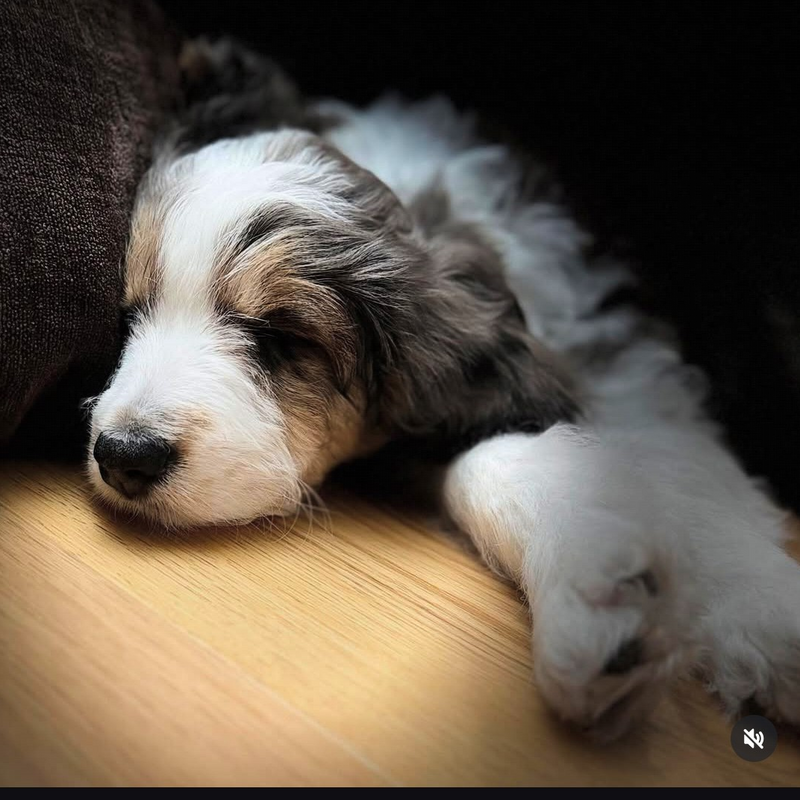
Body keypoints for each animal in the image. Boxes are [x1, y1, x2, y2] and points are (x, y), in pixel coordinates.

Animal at [87, 40, 800, 740]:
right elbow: (486, 456)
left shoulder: (631, 370)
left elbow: (687, 474)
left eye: (282, 338)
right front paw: (594, 591)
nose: (124, 456)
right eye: (130, 316)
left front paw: (767, 621)